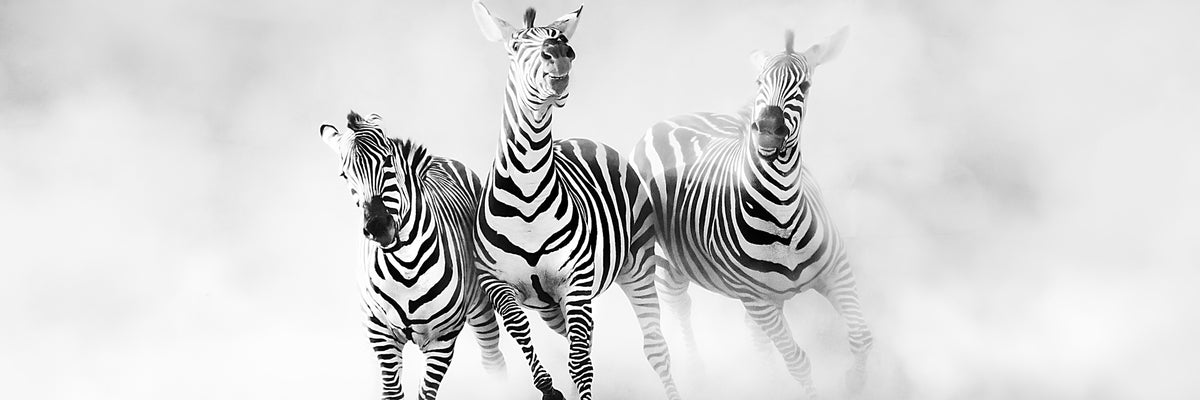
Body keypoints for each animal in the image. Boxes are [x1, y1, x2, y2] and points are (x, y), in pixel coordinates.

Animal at [319, 111, 506, 400]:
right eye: (344, 175)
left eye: (388, 161)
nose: (378, 227)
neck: (405, 264)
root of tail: (441, 158)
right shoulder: (381, 333)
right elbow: (393, 393)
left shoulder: (443, 338)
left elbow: (426, 393)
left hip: (481, 305)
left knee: (493, 359)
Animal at [470, 2, 681, 400]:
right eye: (516, 46)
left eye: (560, 39)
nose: (560, 54)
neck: (527, 193)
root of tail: (582, 139)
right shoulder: (498, 284)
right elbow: (521, 330)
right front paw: (548, 387)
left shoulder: (575, 281)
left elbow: (580, 365)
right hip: (553, 306)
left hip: (637, 264)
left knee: (656, 346)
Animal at [629, 29, 873, 398]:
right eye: (760, 81)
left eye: (805, 86)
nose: (768, 128)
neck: (782, 211)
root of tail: (674, 119)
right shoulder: (756, 298)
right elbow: (798, 361)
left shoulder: (836, 271)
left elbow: (861, 337)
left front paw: (856, 384)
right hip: (666, 259)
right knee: (678, 304)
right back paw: (699, 375)